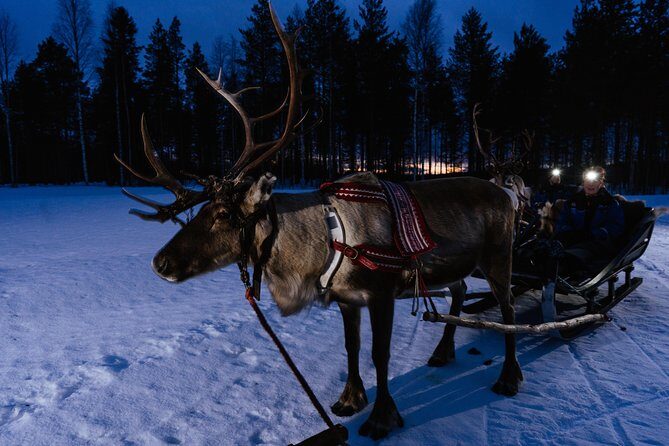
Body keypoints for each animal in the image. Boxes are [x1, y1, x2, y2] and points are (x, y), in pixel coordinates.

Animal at [115, 4, 521, 440]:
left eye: (223, 214)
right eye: (201, 210)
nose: (160, 262)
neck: (321, 246)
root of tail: (507, 194)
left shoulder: (381, 292)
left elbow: (379, 354)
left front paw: (381, 417)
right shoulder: (346, 299)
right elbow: (351, 348)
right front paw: (349, 400)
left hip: (500, 257)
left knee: (509, 311)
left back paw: (508, 377)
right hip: (460, 265)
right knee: (459, 293)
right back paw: (443, 352)